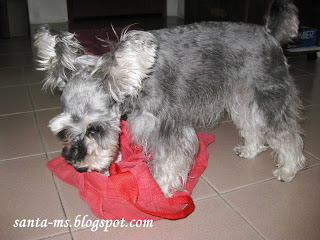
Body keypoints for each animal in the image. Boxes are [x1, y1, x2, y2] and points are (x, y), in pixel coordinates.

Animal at [35, 0, 304, 197]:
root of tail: (269, 34)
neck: (138, 82)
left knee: (286, 134)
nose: (78, 165)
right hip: (241, 98)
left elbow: (169, 163)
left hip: (270, 96)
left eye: (95, 129)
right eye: (64, 129)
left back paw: (289, 168)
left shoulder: (168, 129)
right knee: (252, 124)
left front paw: (161, 189)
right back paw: (251, 149)